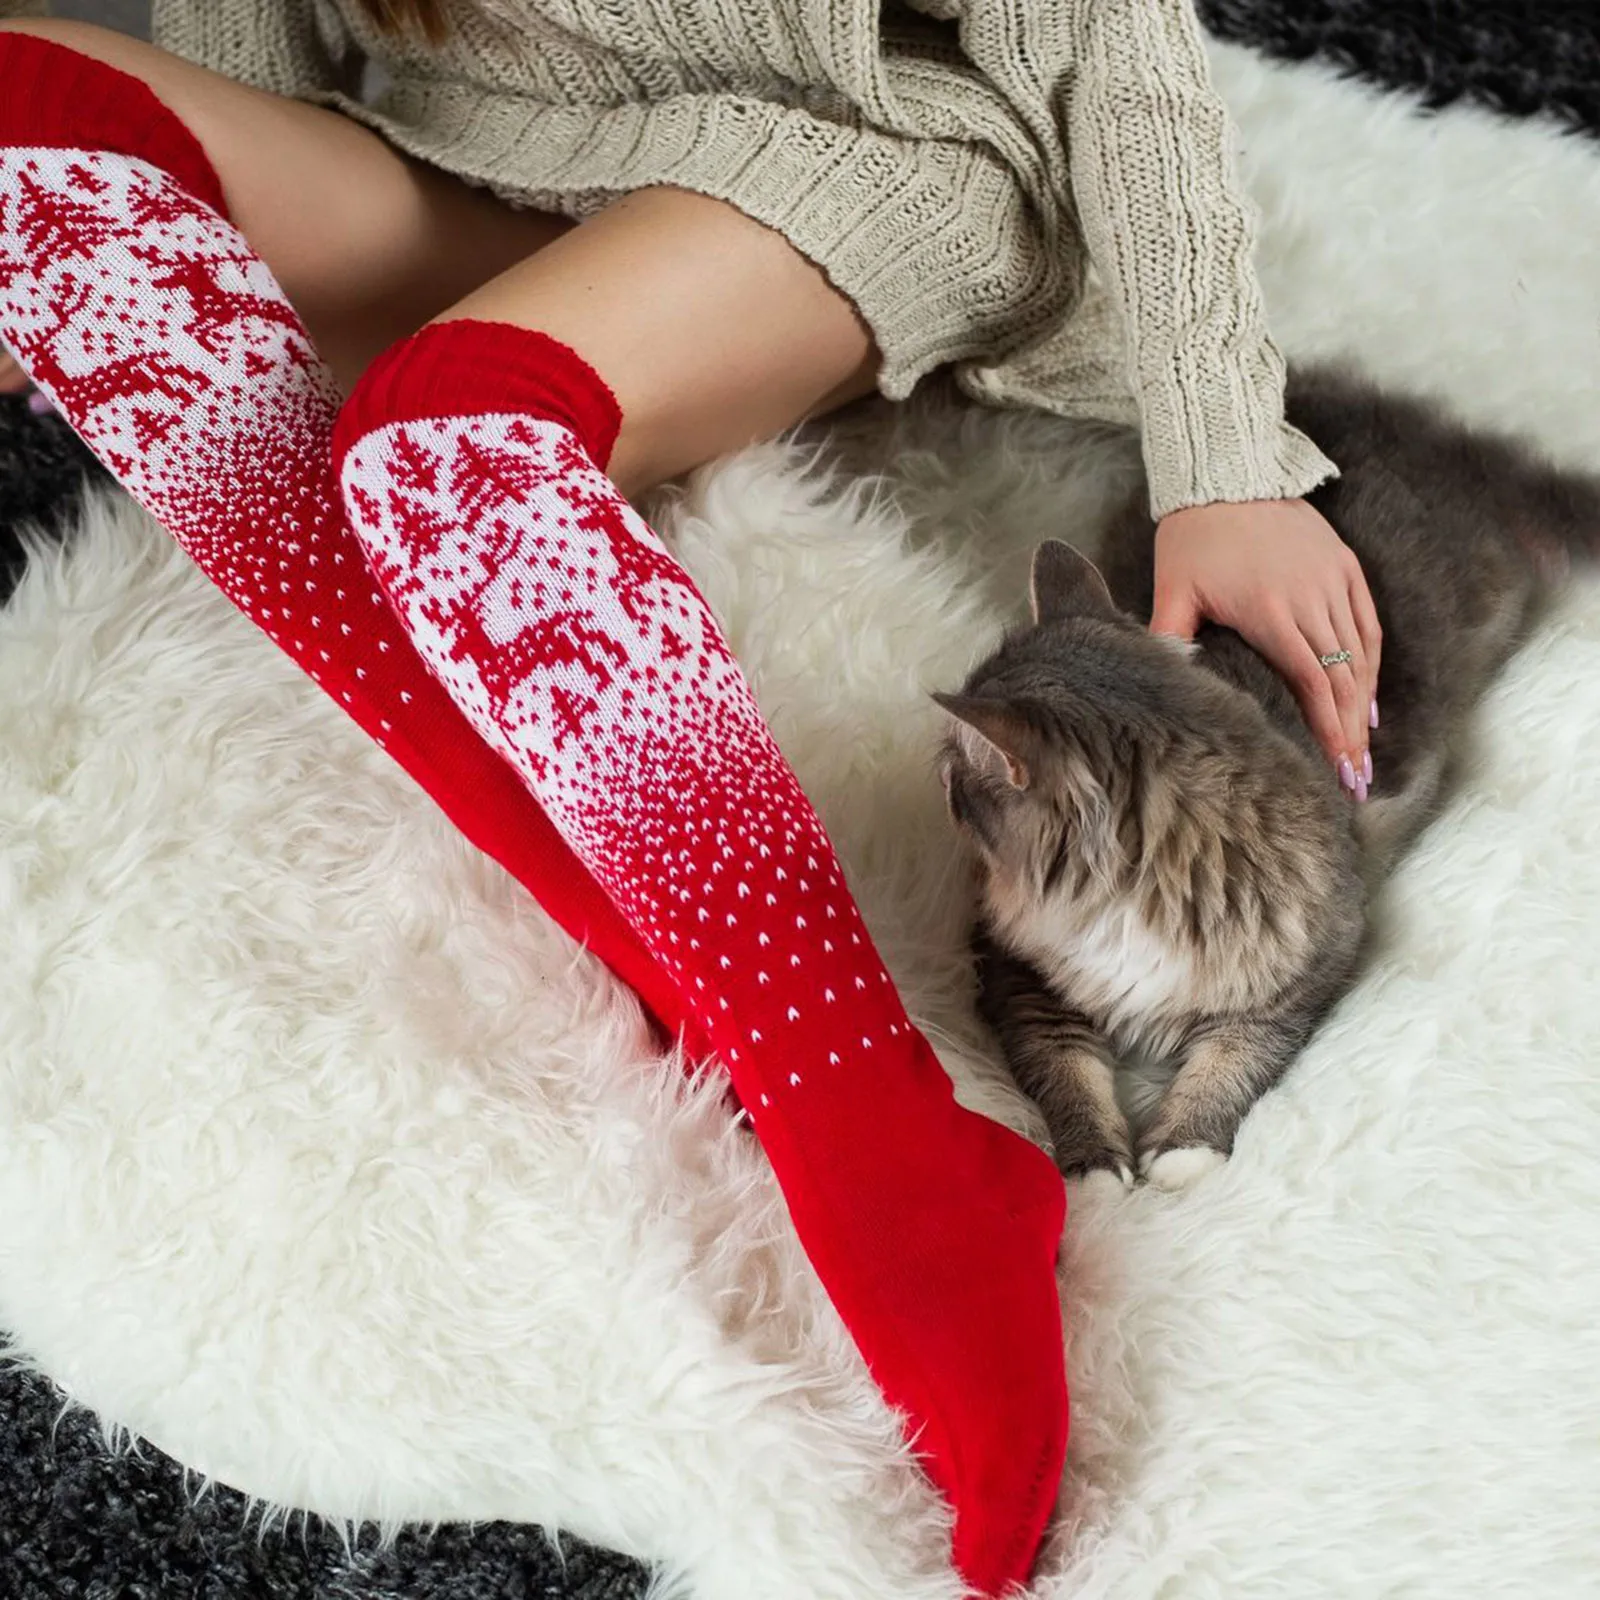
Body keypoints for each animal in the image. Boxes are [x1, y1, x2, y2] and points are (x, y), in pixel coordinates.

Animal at [934, 371, 1600, 1190]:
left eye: (955, 776)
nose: (940, 782)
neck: (1134, 899)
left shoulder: (1307, 971)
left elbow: (1230, 1061)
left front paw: (1180, 1154)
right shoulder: (1016, 973)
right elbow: (1066, 1068)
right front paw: (1095, 1166)